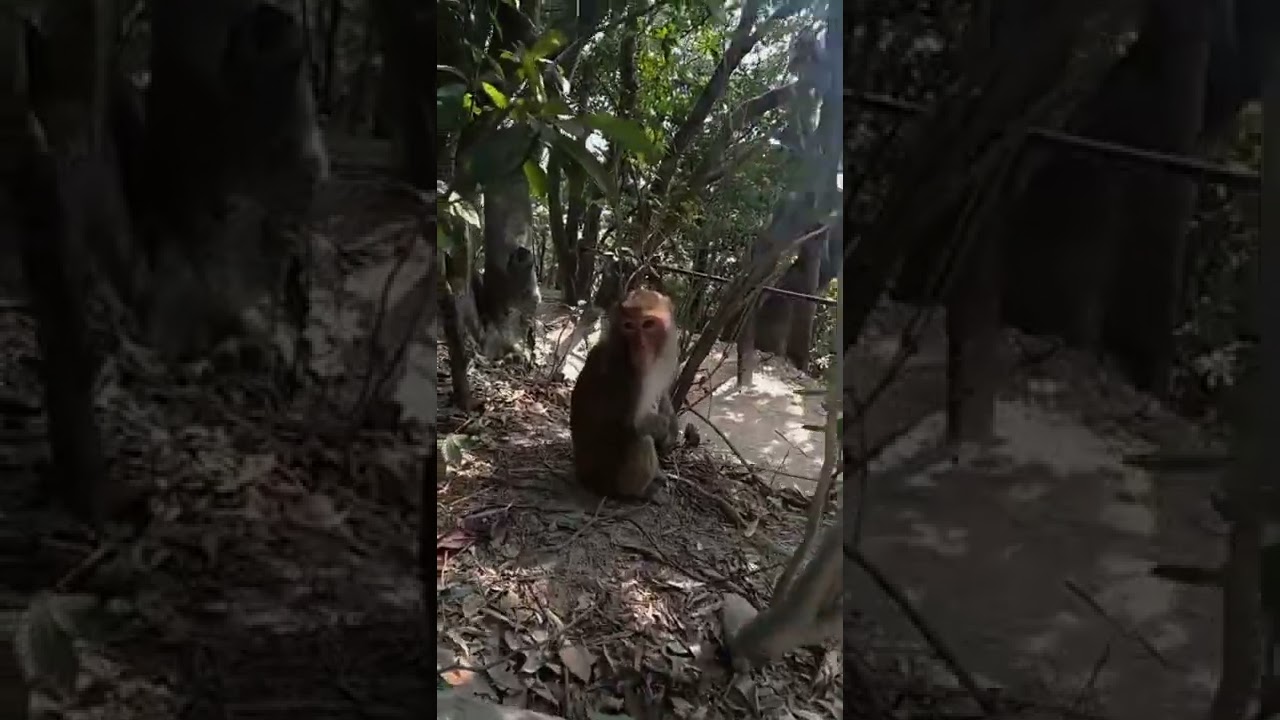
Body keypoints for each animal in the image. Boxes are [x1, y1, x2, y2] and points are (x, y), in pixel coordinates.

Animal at [570, 288, 681, 500]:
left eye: (648, 324)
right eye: (628, 326)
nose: (640, 346)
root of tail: (583, 476)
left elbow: (662, 395)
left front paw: (672, 425)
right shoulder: (624, 376)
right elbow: (632, 424)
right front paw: (664, 427)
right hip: (611, 481)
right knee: (640, 438)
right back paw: (641, 492)